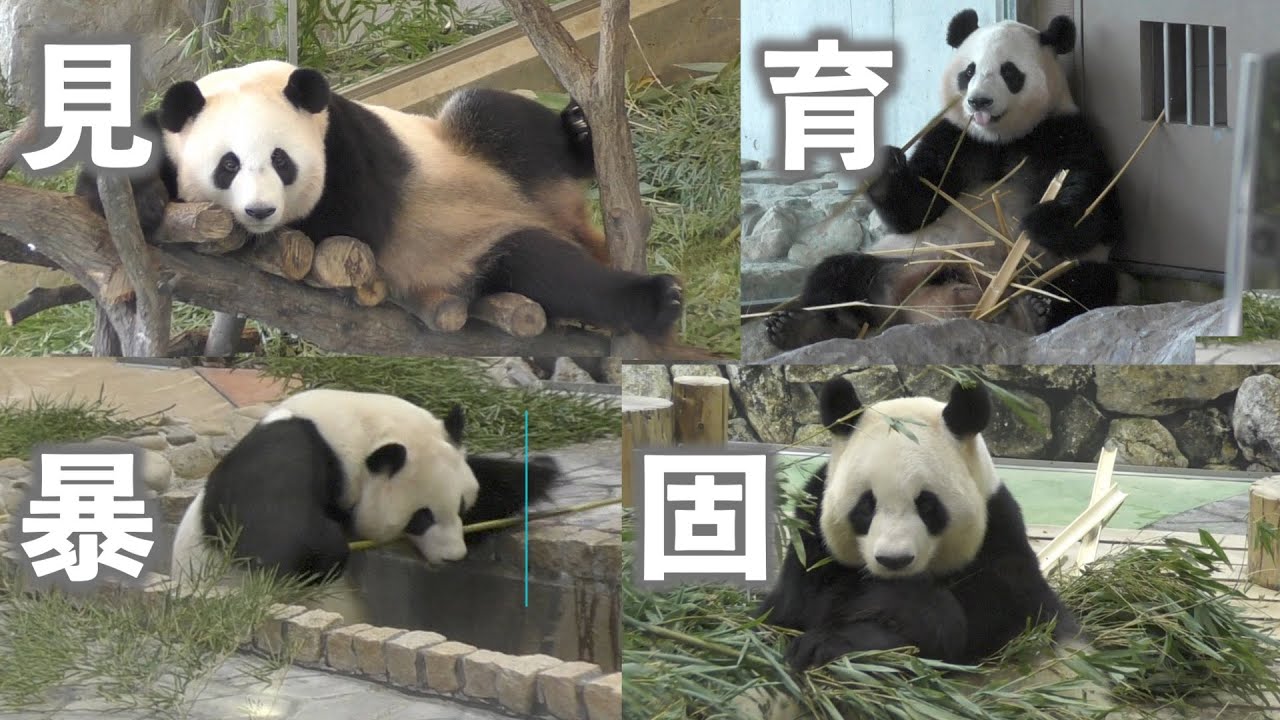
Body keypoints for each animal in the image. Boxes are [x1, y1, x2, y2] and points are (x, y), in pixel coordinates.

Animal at [75, 60, 682, 340]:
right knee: (538, 269)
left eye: (281, 160)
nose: (259, 212)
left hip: (461, 142)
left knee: (496, 116)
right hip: (478, 255)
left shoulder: (351, 140)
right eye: (227, 165)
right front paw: (145, 201)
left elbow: (354, 220)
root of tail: (556, 215)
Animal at [169, 388, 561, 590]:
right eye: (421, 518)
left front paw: (540, 472)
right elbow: (260, 527)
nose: (454, 557)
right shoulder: (293, 448)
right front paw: (328, 553)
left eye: (463, 507)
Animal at [756, 374, 1079, 671]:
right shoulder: (811, 540)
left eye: (926, 504)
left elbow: (1001, 617)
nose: (894, 560)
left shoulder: (1000, 538)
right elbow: (807, 605)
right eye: (866, 505)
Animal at [765, 10, 1123, 352]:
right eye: (969, 71)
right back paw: (803, 329)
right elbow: (916, 209)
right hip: (906, 259)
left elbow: (1094, 205)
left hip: (1040, 270)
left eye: (1009, 72)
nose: (979, 101)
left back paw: (1039, 311)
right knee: (837, 277)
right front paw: (882, 168)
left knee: (1083, 284)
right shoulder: (953, 138)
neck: (1000, 139)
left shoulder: (1064, 132)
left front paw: (1041, 220)